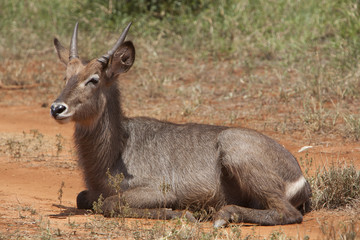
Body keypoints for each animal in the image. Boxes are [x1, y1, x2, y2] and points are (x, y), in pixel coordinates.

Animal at [51, 22, 312, 227]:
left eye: (93, 80)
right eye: (66, 77)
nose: (57, 108)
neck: (118, 149)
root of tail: (299, 176)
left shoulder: (157, 188)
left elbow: (109, 203)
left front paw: (179, 213)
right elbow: (83, 197)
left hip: (235, 149)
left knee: (288, 213)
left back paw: (223, 215)